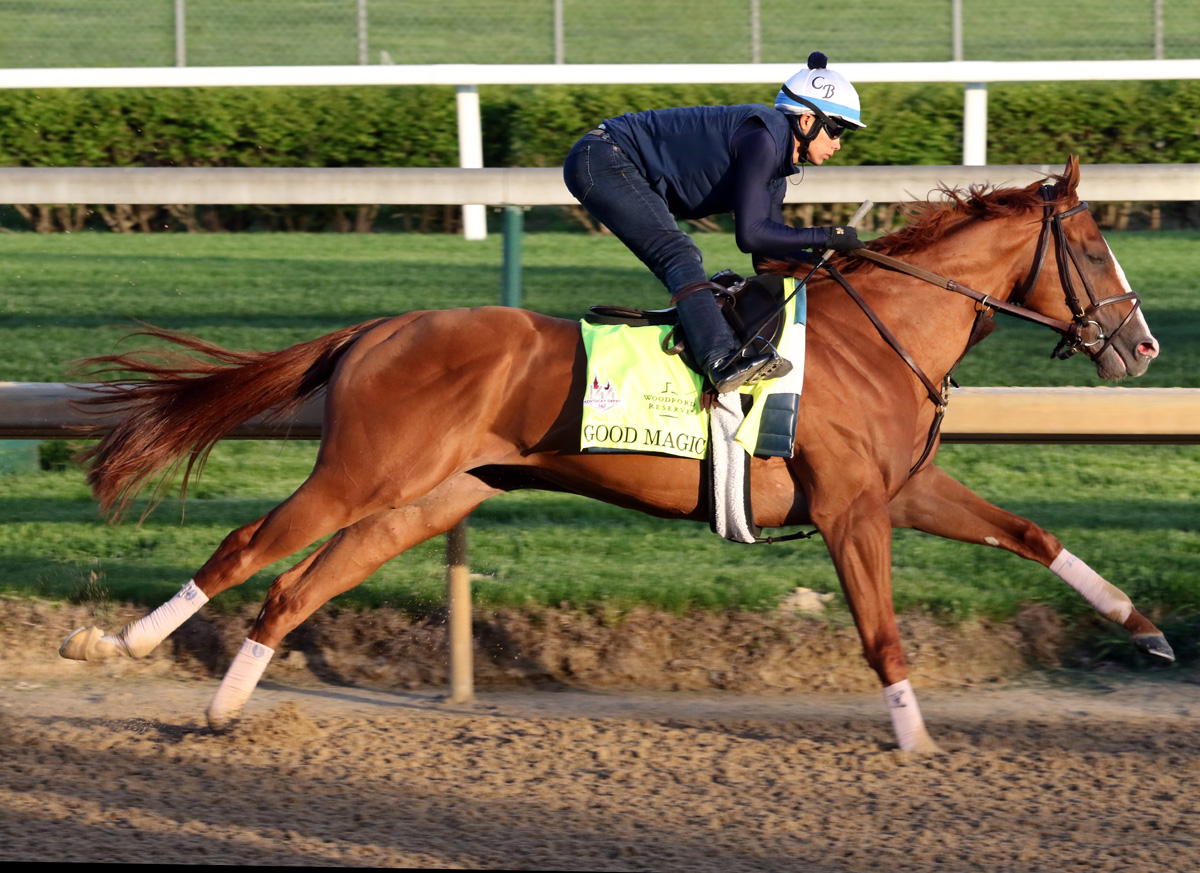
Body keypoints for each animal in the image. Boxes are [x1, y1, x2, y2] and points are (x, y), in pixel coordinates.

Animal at [60, 154, 1166, 748]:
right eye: (1093, 246)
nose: (1144, 345)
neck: (878, 331)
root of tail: (379, 327)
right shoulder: (852, 509)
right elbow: (882, 633)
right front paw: (917, 736)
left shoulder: (903, 488)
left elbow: (1027, 533)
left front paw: (1143, 626)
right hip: (363, 473)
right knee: (248, 547)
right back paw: (117, 645)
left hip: (432, 496)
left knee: (299, 587)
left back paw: (224, 706)